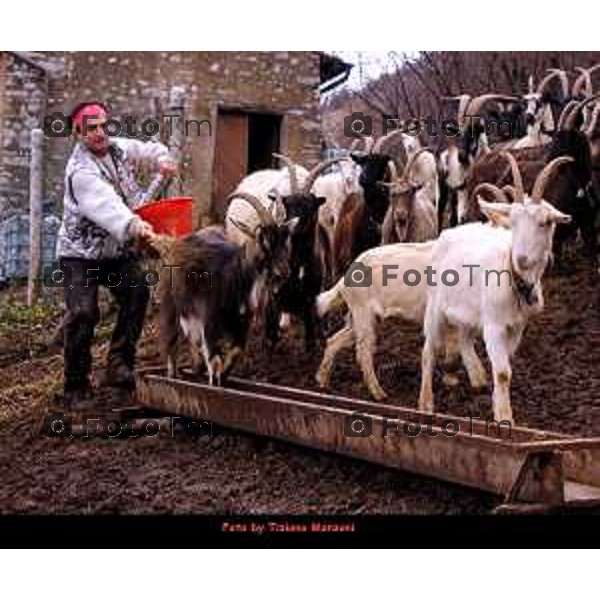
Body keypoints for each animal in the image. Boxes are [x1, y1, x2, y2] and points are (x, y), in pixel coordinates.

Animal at [418, 157, 572, 424]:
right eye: (513, 223)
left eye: (545, 222)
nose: (521, 259)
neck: (515, 279)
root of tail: (448, 232)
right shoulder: (493, 325)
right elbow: (502, 372)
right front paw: (504, 417)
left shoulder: (518, 327)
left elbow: (505, 366)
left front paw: (495, 402)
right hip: (436, 306)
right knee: (428, 352)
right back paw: (426, 403)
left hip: (467, 311)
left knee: (464, 337)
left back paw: (477, 377)